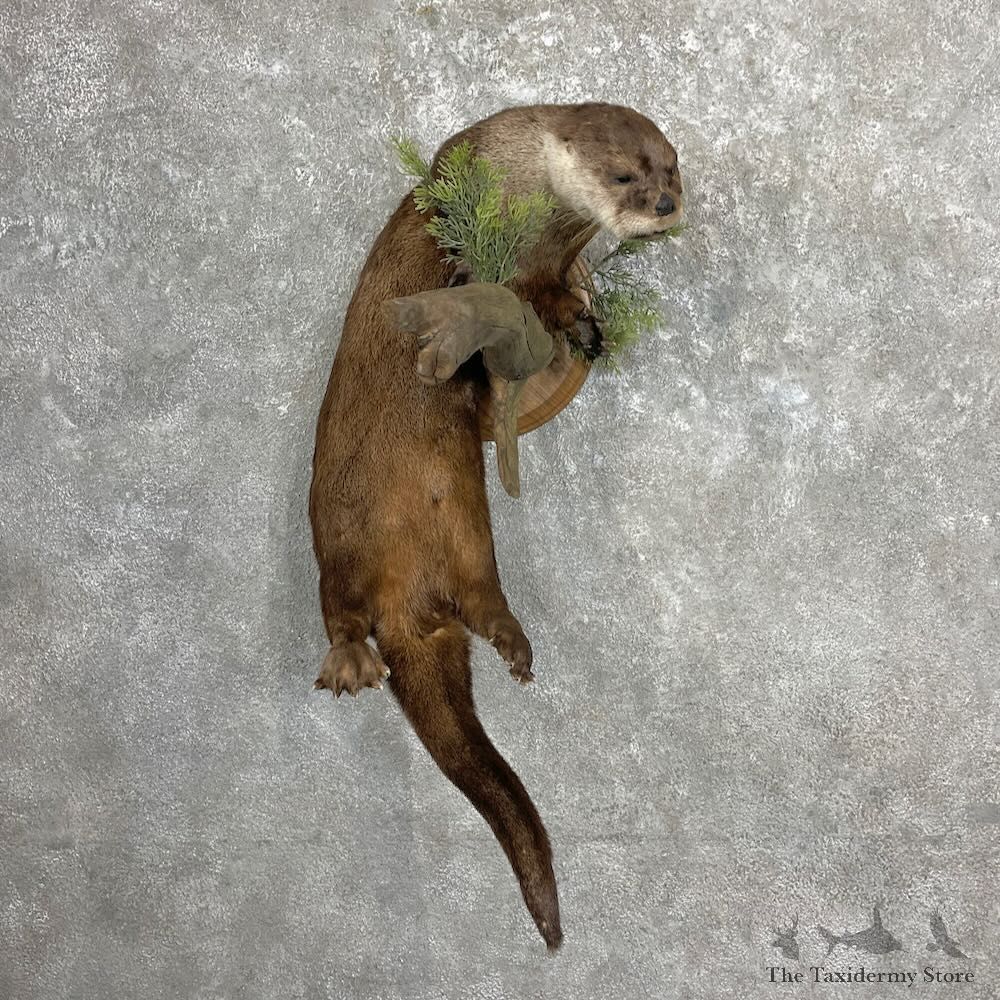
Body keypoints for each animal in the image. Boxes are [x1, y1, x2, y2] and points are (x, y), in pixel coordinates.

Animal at [309, 103, 684, 949]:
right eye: (624, 174)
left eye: (672, 167)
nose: (664, 205)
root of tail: (406, 606)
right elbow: (519, 291)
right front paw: (565, 317)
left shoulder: (557, 253)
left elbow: (552, 296)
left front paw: (585, 324)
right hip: (337, 536)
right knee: (339, 606)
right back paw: (353, 662)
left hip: (470, 537)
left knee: (479, 601)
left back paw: (508, 643)